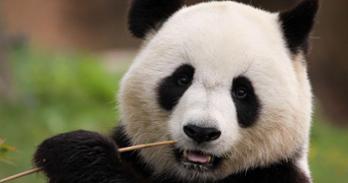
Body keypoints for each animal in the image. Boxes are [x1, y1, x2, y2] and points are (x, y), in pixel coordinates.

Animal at [34, 0, 318, 183]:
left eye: (242, 91)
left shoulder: (276, 174)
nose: (201, 131)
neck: (193, 177)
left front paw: (75, 151)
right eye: (182, 78)